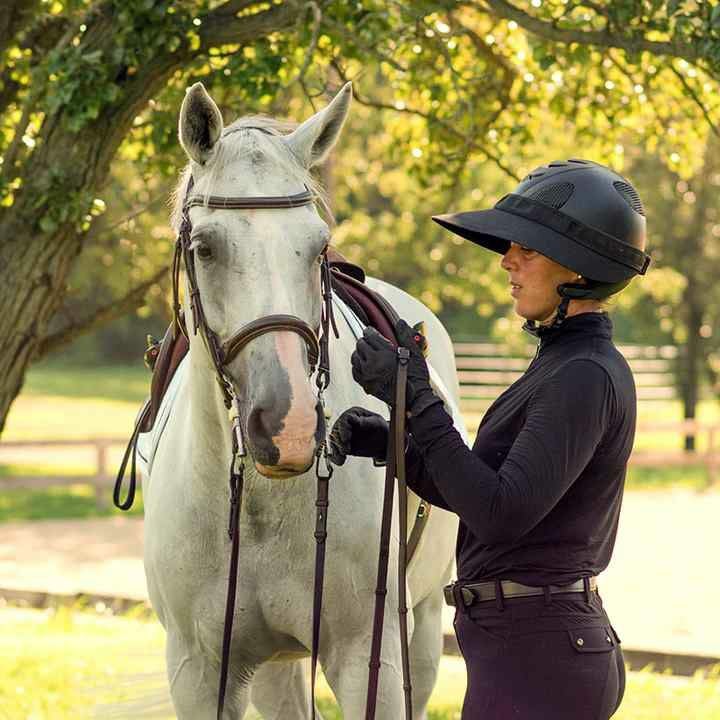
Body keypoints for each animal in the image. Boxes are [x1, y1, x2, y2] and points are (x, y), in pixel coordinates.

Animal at [140, 80, 464, 719]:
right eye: (205, 248)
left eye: (318, 248)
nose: (286, 428)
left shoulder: (370, 661)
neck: (258, 503)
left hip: (422, 625)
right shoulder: (198, 670)